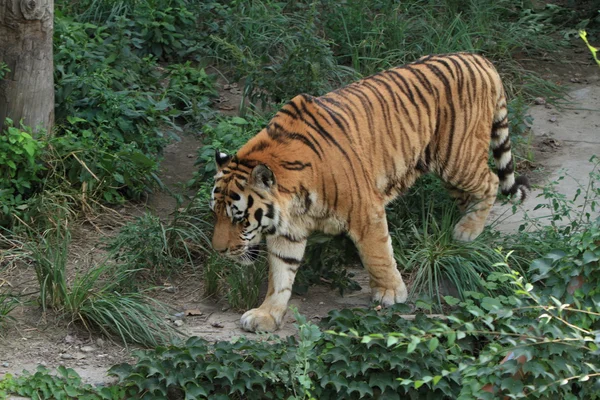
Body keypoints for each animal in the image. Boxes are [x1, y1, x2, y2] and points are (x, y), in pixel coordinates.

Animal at [210, 54, 528, 334]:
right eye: (216, 215)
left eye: (239, 219)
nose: (219, 250)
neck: (294, 199)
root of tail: (478, 58)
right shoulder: (287, 231)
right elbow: (280, 275)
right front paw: (266, 315)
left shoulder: (366, 211)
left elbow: (377, 254)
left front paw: (390, 293)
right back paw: (464, 225)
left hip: (458, 158)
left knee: (491, 181)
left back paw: (467, 231)